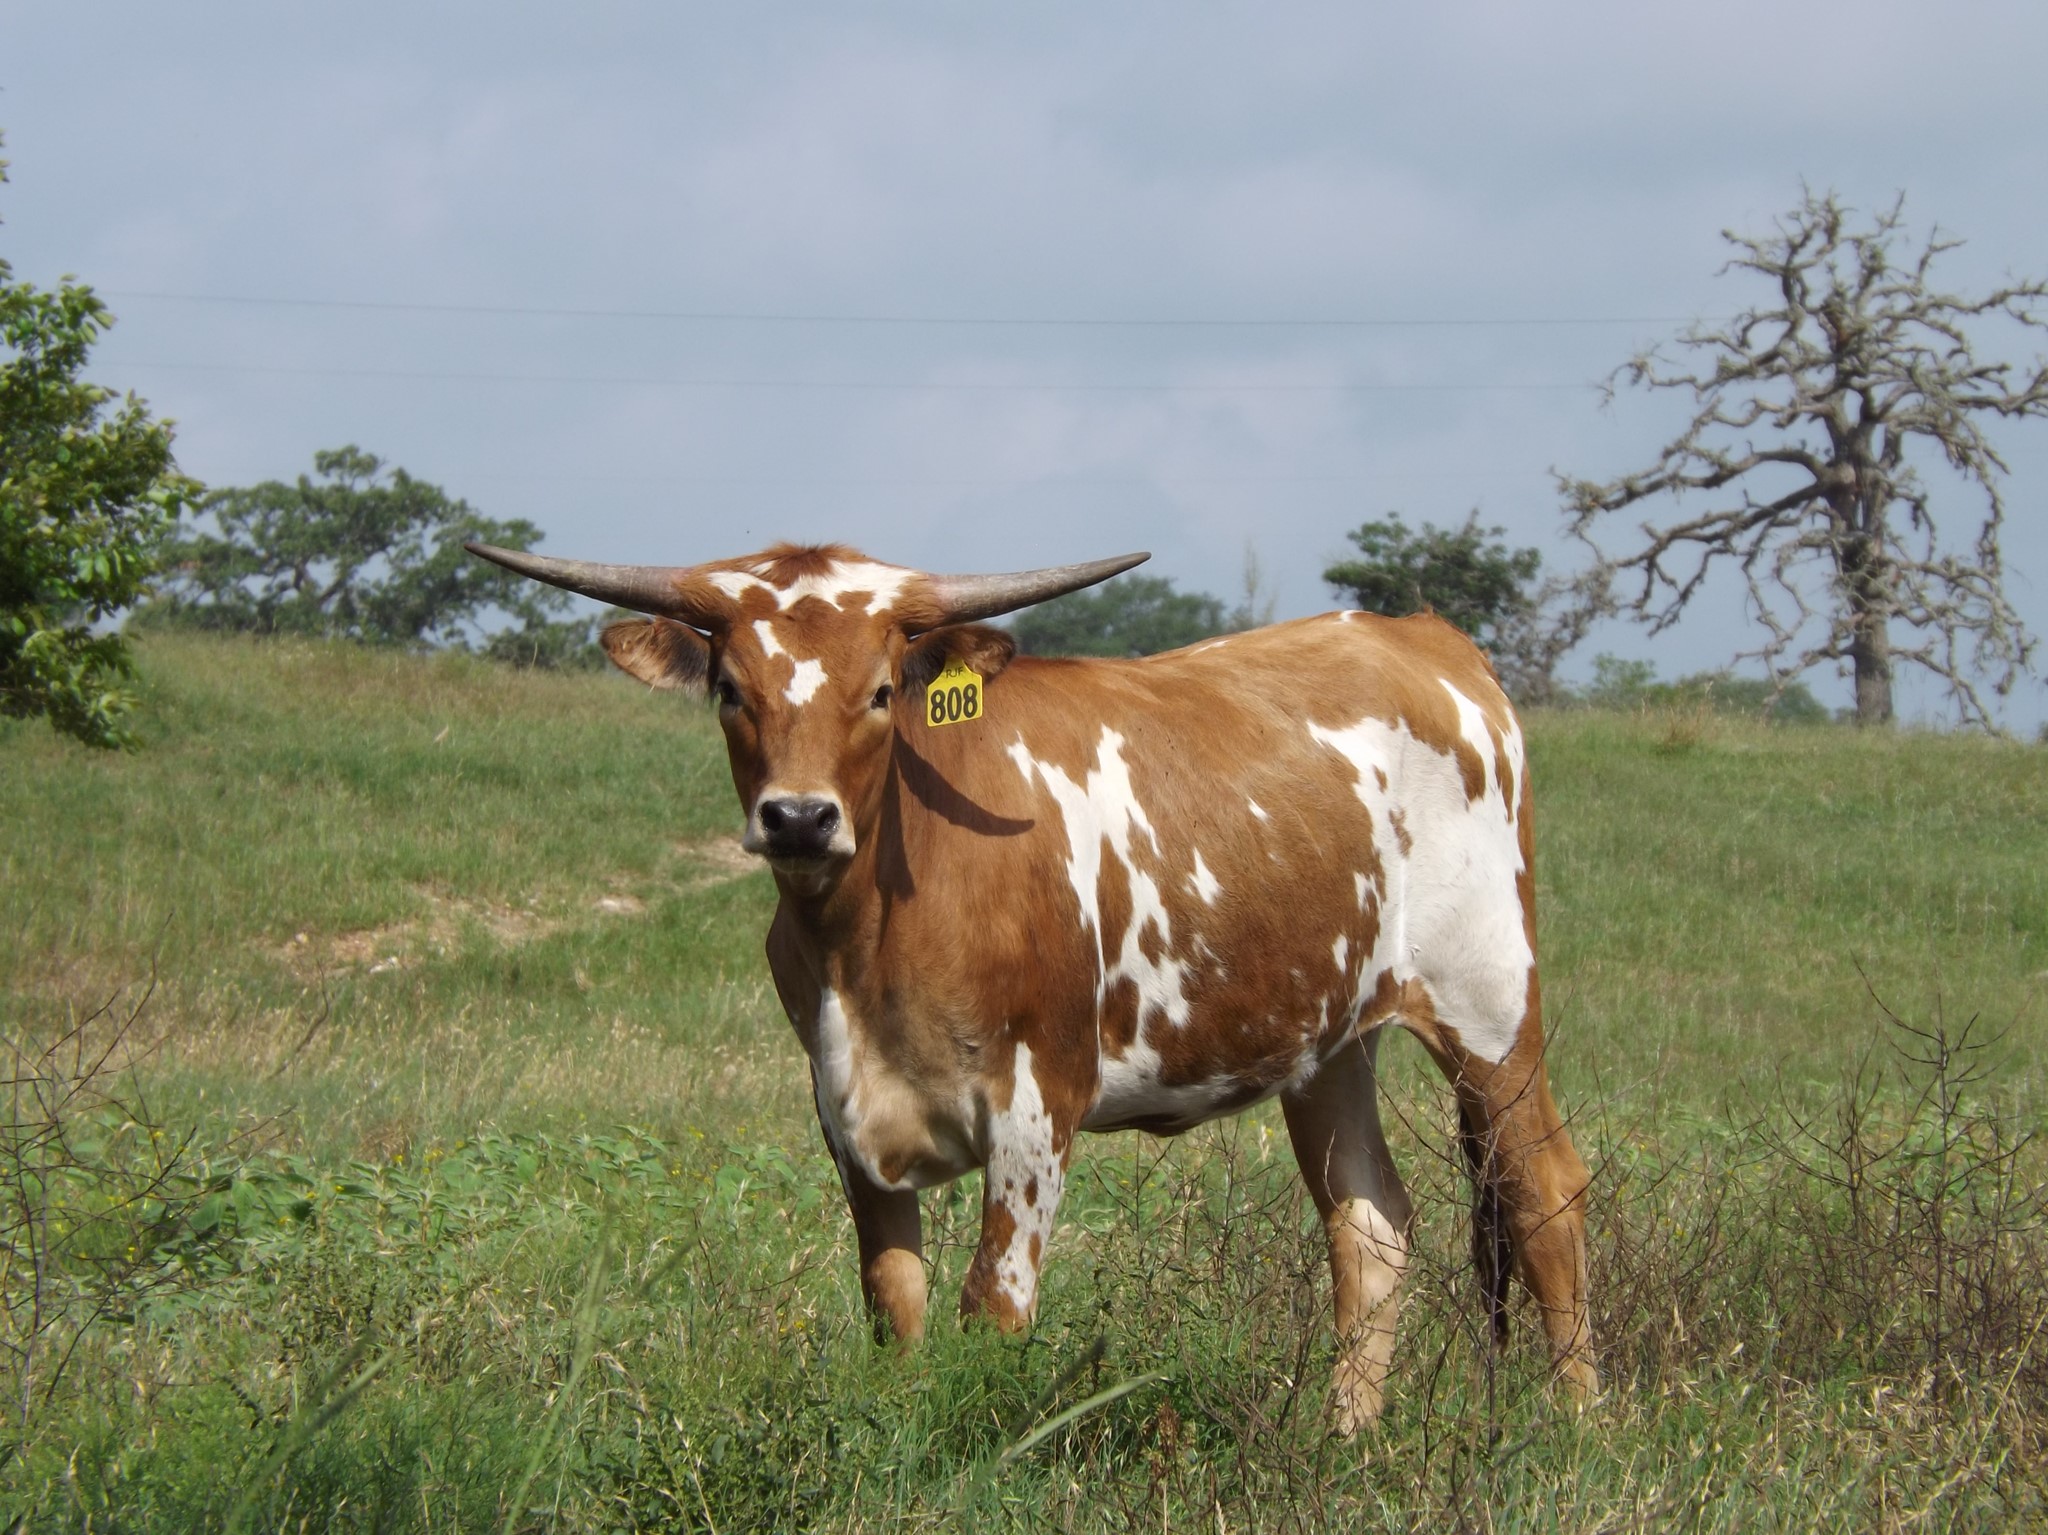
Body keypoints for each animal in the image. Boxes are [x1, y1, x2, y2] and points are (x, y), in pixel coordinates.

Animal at [466, 539, 1595, 1433]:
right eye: (731, 691)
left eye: (880, 691)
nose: (798, 818)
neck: (868, 935)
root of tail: (1428, 637)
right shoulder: (843, 1108)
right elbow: (896, 1307)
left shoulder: (1036, 1102)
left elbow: (991, 1310)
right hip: (1328, 1035)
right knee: (1368, 1225)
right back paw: (1343, 1439)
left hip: (1490, 1002)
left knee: (1544, 1191)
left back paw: (1577, 1426)